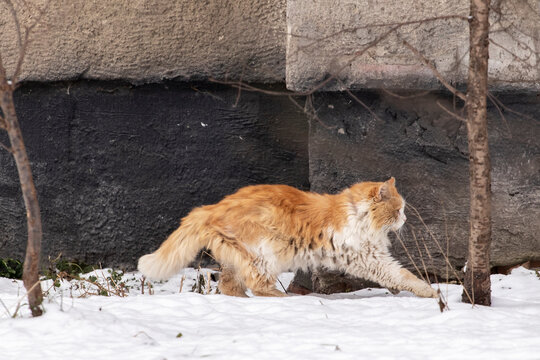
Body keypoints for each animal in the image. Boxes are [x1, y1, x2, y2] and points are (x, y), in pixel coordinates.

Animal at [138, 177, 438, 298]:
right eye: (398, 210)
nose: (405, 220)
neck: (357, 214)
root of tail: (212, 207)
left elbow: (400, 277)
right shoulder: (371, 259)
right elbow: (404, 276)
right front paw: (429, 292)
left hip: (241, 257)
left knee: (228, 285)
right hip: (264, 255)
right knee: (257, 286)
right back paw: (287, 300)